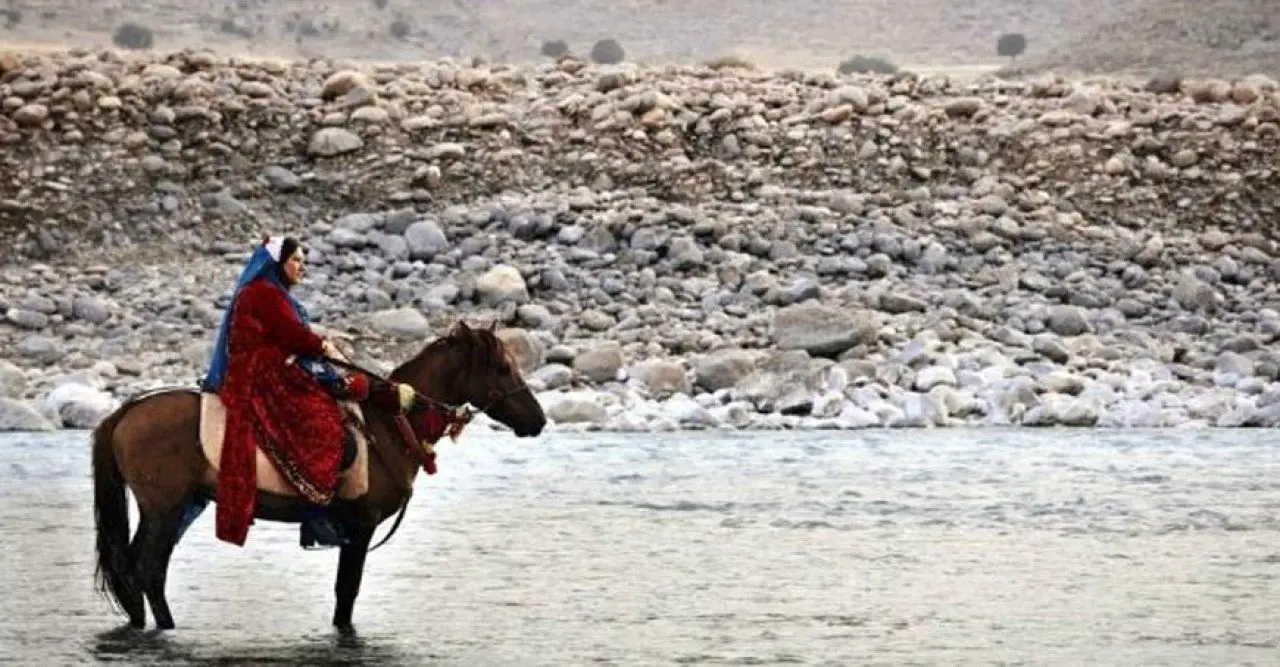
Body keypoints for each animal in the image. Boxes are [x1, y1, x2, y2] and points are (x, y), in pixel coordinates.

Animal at [88, 320, 550, 632]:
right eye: (503, 367)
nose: (539, 420)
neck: (390, 423)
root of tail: (124, 413)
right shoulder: (360, 526)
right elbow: (347, 593)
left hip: (165, 509)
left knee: (131, 566)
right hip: (165, 508)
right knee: (148, 568)